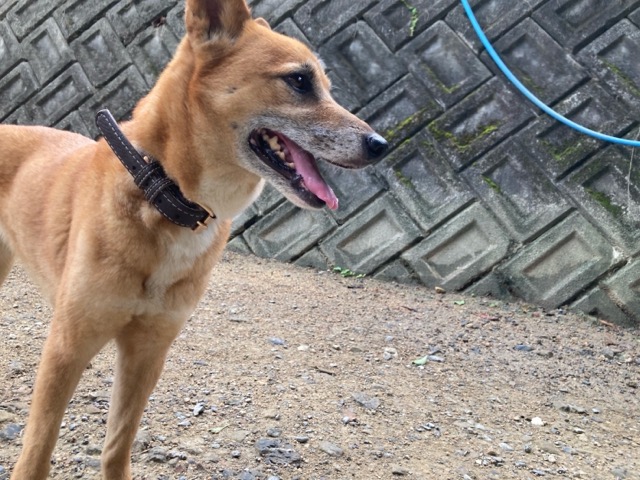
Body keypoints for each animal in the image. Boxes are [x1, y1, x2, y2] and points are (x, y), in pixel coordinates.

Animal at [0, 0, 388, 478]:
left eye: (328, 87)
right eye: (300, 80)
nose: (380, 144)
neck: (165, 196)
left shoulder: (149, 350)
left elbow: (118, 443)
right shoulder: (68, 347)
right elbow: (38, 447)